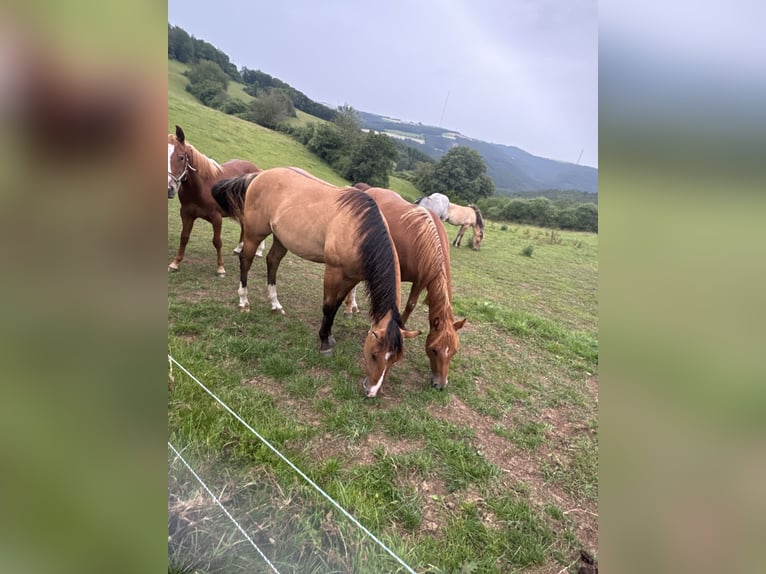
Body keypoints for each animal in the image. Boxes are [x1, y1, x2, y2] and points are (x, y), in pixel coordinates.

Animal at [169, 126, 264, 280]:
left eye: (181, 157)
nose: (169, 188)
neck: (202, 187)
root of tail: (258, 171)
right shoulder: (186, 213)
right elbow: (184, 237)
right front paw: (175, 263)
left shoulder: (216, 218)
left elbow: (217, 242)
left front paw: (221, 268)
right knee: (244, 226)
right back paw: (239, 248)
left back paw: (259, 251)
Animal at [213, 169, 424, 398]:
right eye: (375, 354)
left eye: (395, 360)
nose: (371, 391)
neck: (359, 230)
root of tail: (259, 175)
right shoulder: (334, 272)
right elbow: (328, 307)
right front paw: (324, 342)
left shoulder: (351, 277)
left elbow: (337, 306)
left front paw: (329, 336)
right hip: (254, 233)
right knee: (246, 261)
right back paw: (244, 301)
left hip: (281, 238)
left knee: (272, 262)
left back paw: (275, 304)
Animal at [348, 184, 468, 392]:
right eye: (434, 350)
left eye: (454, 351)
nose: (440, 385)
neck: (428, 242)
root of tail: (370, 189)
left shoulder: (420, 281)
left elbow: (411, 305)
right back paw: (351, 306)